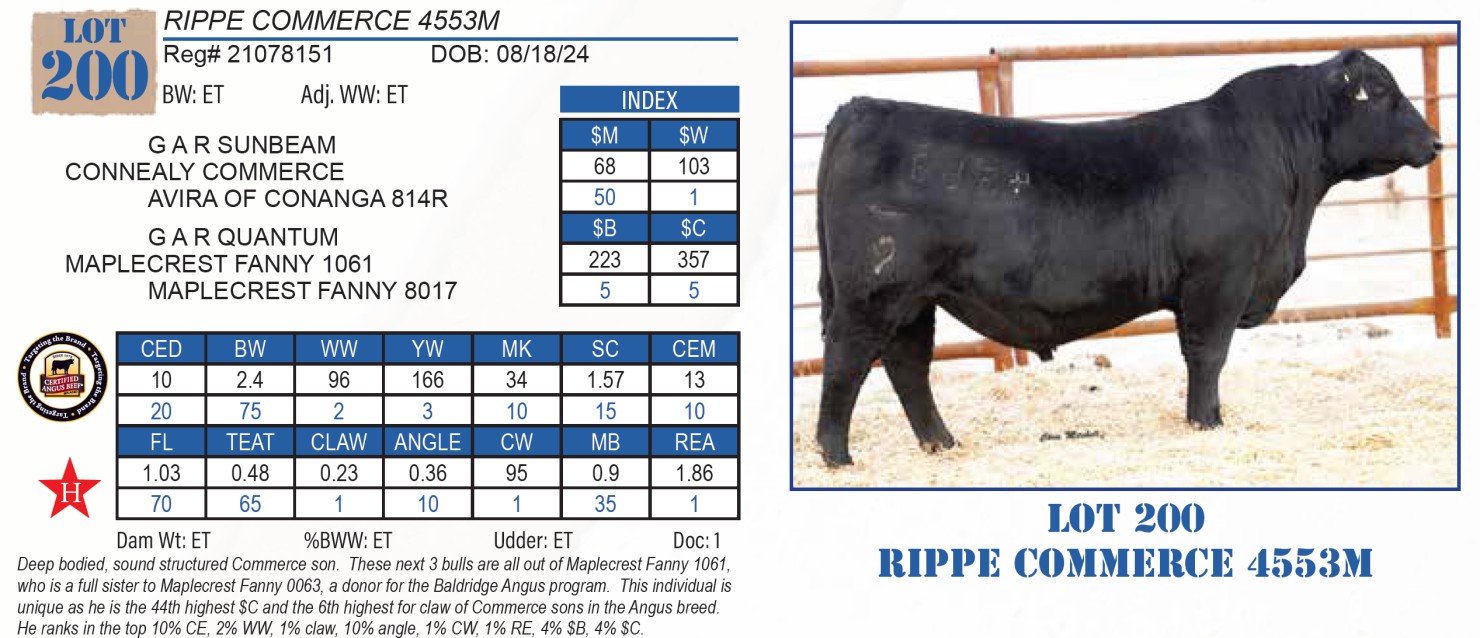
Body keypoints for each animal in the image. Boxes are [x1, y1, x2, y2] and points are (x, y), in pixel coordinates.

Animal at [813, 49, 1442, 467]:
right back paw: (837, 456)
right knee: (847, 362)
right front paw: (1208, 423)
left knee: (907, 367)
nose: (1435, 142)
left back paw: (942, 444)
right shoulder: (1220, 277)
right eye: (1381, 93)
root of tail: (862, 106)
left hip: (914, 299)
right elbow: (1208, 355)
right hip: (873, 292)